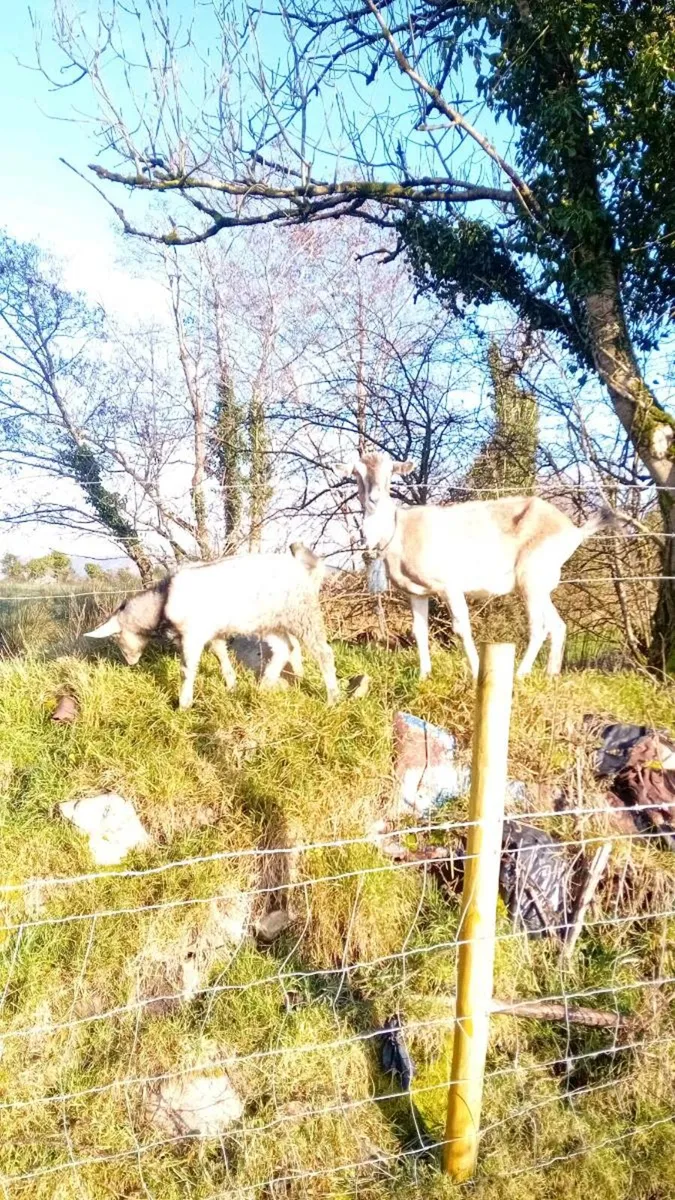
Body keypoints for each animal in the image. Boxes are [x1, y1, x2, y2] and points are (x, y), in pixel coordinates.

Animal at [85, 544, 338, 708]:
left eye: (117, 638)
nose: (130, 662)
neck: (163, 602)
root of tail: (305, 569)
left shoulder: (192, 634)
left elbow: (186, 669)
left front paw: (184, 703)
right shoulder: (212, 632)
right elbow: (220, 655)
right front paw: (231, 685)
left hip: (302, 613)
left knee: (323, 652)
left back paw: (332, 699)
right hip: (271, 621)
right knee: (285, 648)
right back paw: (265, 684)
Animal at [339, 450, 617, 680]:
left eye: (390, 472)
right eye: (357, 473)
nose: (374, 499)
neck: (400, 531)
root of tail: (574, 530)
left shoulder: (449, 585)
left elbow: (461, 627)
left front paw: (475, 672)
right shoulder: (416, 592)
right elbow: (419, 631)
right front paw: (423, 676)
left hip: (532, 577)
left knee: (539, 626)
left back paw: (520, 674)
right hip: (538, 583)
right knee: (557, 625)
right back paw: (551, 676)